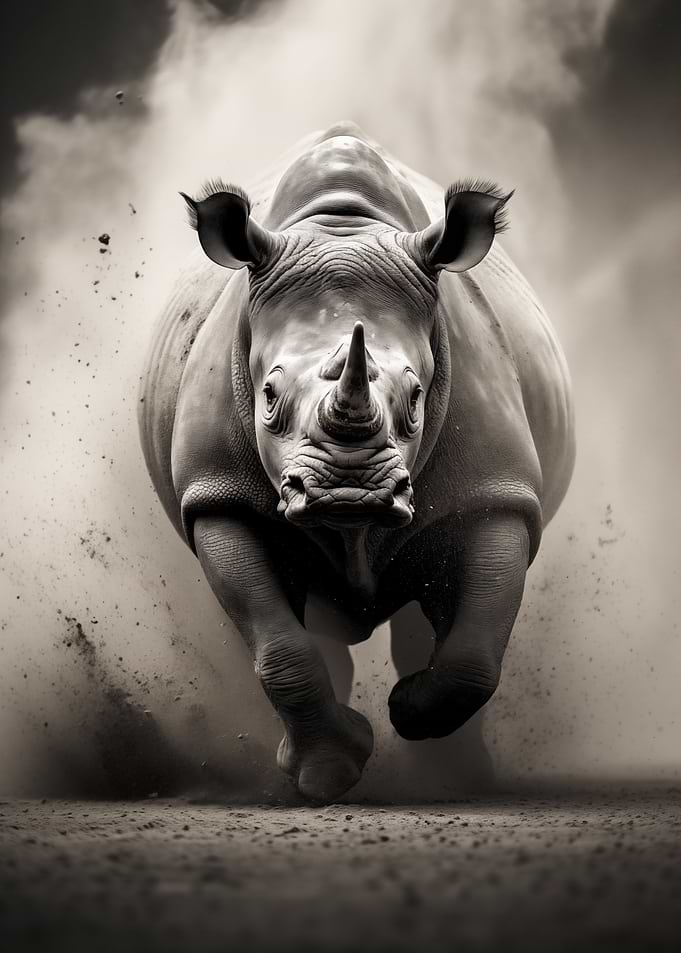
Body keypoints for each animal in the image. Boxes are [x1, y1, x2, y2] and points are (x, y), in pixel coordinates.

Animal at [139, 121, 575, 802]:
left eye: (417, 397)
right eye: (268, 395)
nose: (348, 494)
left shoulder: (494, 492)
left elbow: (476, 652)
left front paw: (407, 710)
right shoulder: (219, 498)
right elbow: (280, 649)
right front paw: (326, 777)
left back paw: (455, 776)